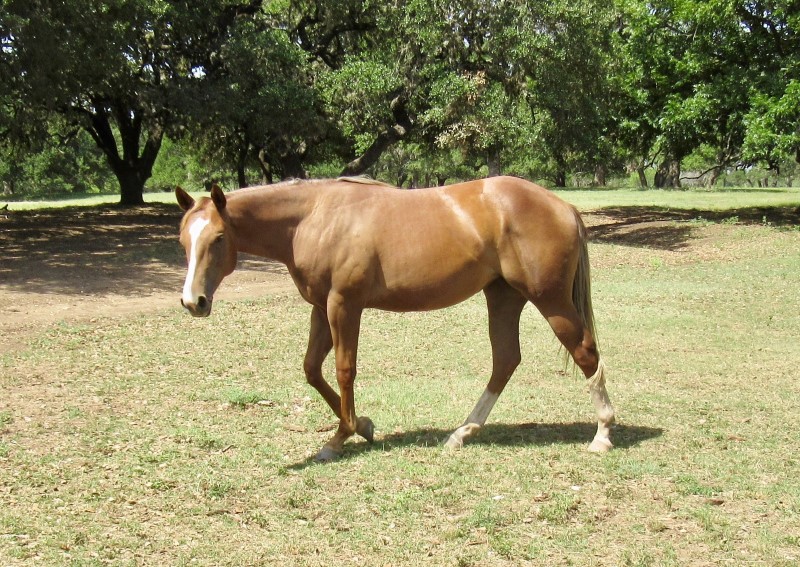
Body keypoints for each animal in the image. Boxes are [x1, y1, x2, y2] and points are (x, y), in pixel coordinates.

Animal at [175, 176, 616, 462]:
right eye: (184, 240)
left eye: (217, 239)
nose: (193, 302)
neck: (315, 216)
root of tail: (562, 206)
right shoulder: (321, 308)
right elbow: (312, 370)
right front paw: (363, 426)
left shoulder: (344, 306)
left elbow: (344, 370)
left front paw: (340, 437)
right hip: (504, 297)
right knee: (506, 360)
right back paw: (463, 433)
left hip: (550, 300)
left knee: (585, 352)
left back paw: (603, 434)